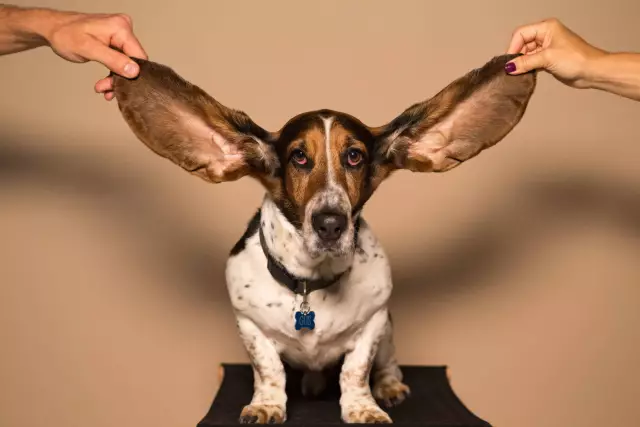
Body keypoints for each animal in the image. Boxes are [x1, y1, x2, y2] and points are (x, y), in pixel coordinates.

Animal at [112, 51, 536, 422]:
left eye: (355, 156)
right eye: (299, 157)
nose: (330, 223)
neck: (311, 281)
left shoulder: (374, 323)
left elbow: (356, 371)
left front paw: (363, 408)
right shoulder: (249, 326)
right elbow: (268, 370)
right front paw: (267, 405)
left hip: (389, 330)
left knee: (388, 363)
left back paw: (389, 386)